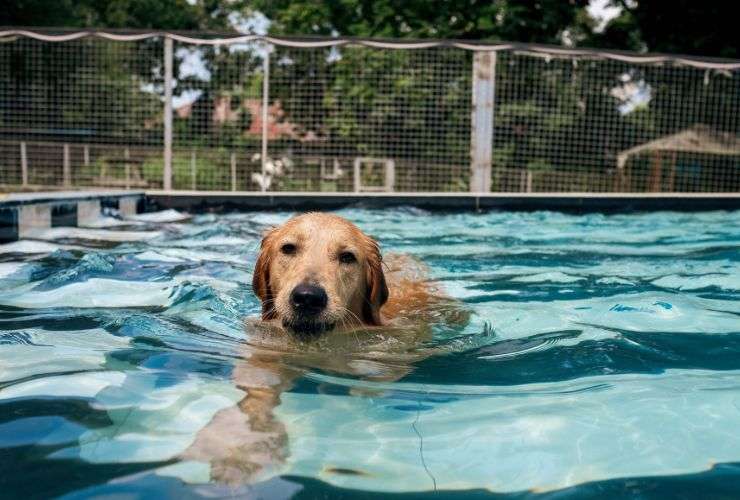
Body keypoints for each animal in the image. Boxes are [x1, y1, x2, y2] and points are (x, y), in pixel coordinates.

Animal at [184, 212, 468, 484]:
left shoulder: (389, 355)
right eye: (288, 248)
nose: (308, 297)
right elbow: (257, 390)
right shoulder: (265, 349)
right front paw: (240, 446)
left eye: (347, 257)